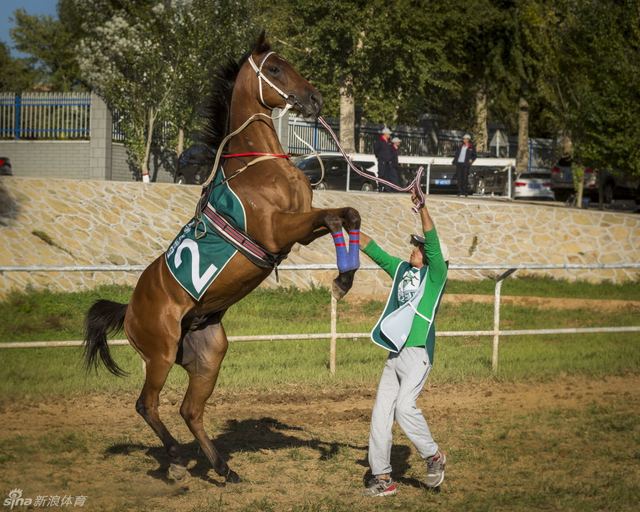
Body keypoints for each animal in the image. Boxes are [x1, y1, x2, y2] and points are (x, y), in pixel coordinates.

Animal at [83, 33, 361, 484]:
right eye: (275, 68)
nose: (315, 99)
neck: (258, 164)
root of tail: (129, 309)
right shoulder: (278, 229)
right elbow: (336, 216)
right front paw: (341, 279)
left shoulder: (300, 228)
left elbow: (347, 214)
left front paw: (346, 277)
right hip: (159, 355)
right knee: (148, 405)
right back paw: (177, 460)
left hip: (208, 354)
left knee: (189, 410)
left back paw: (222, 467)